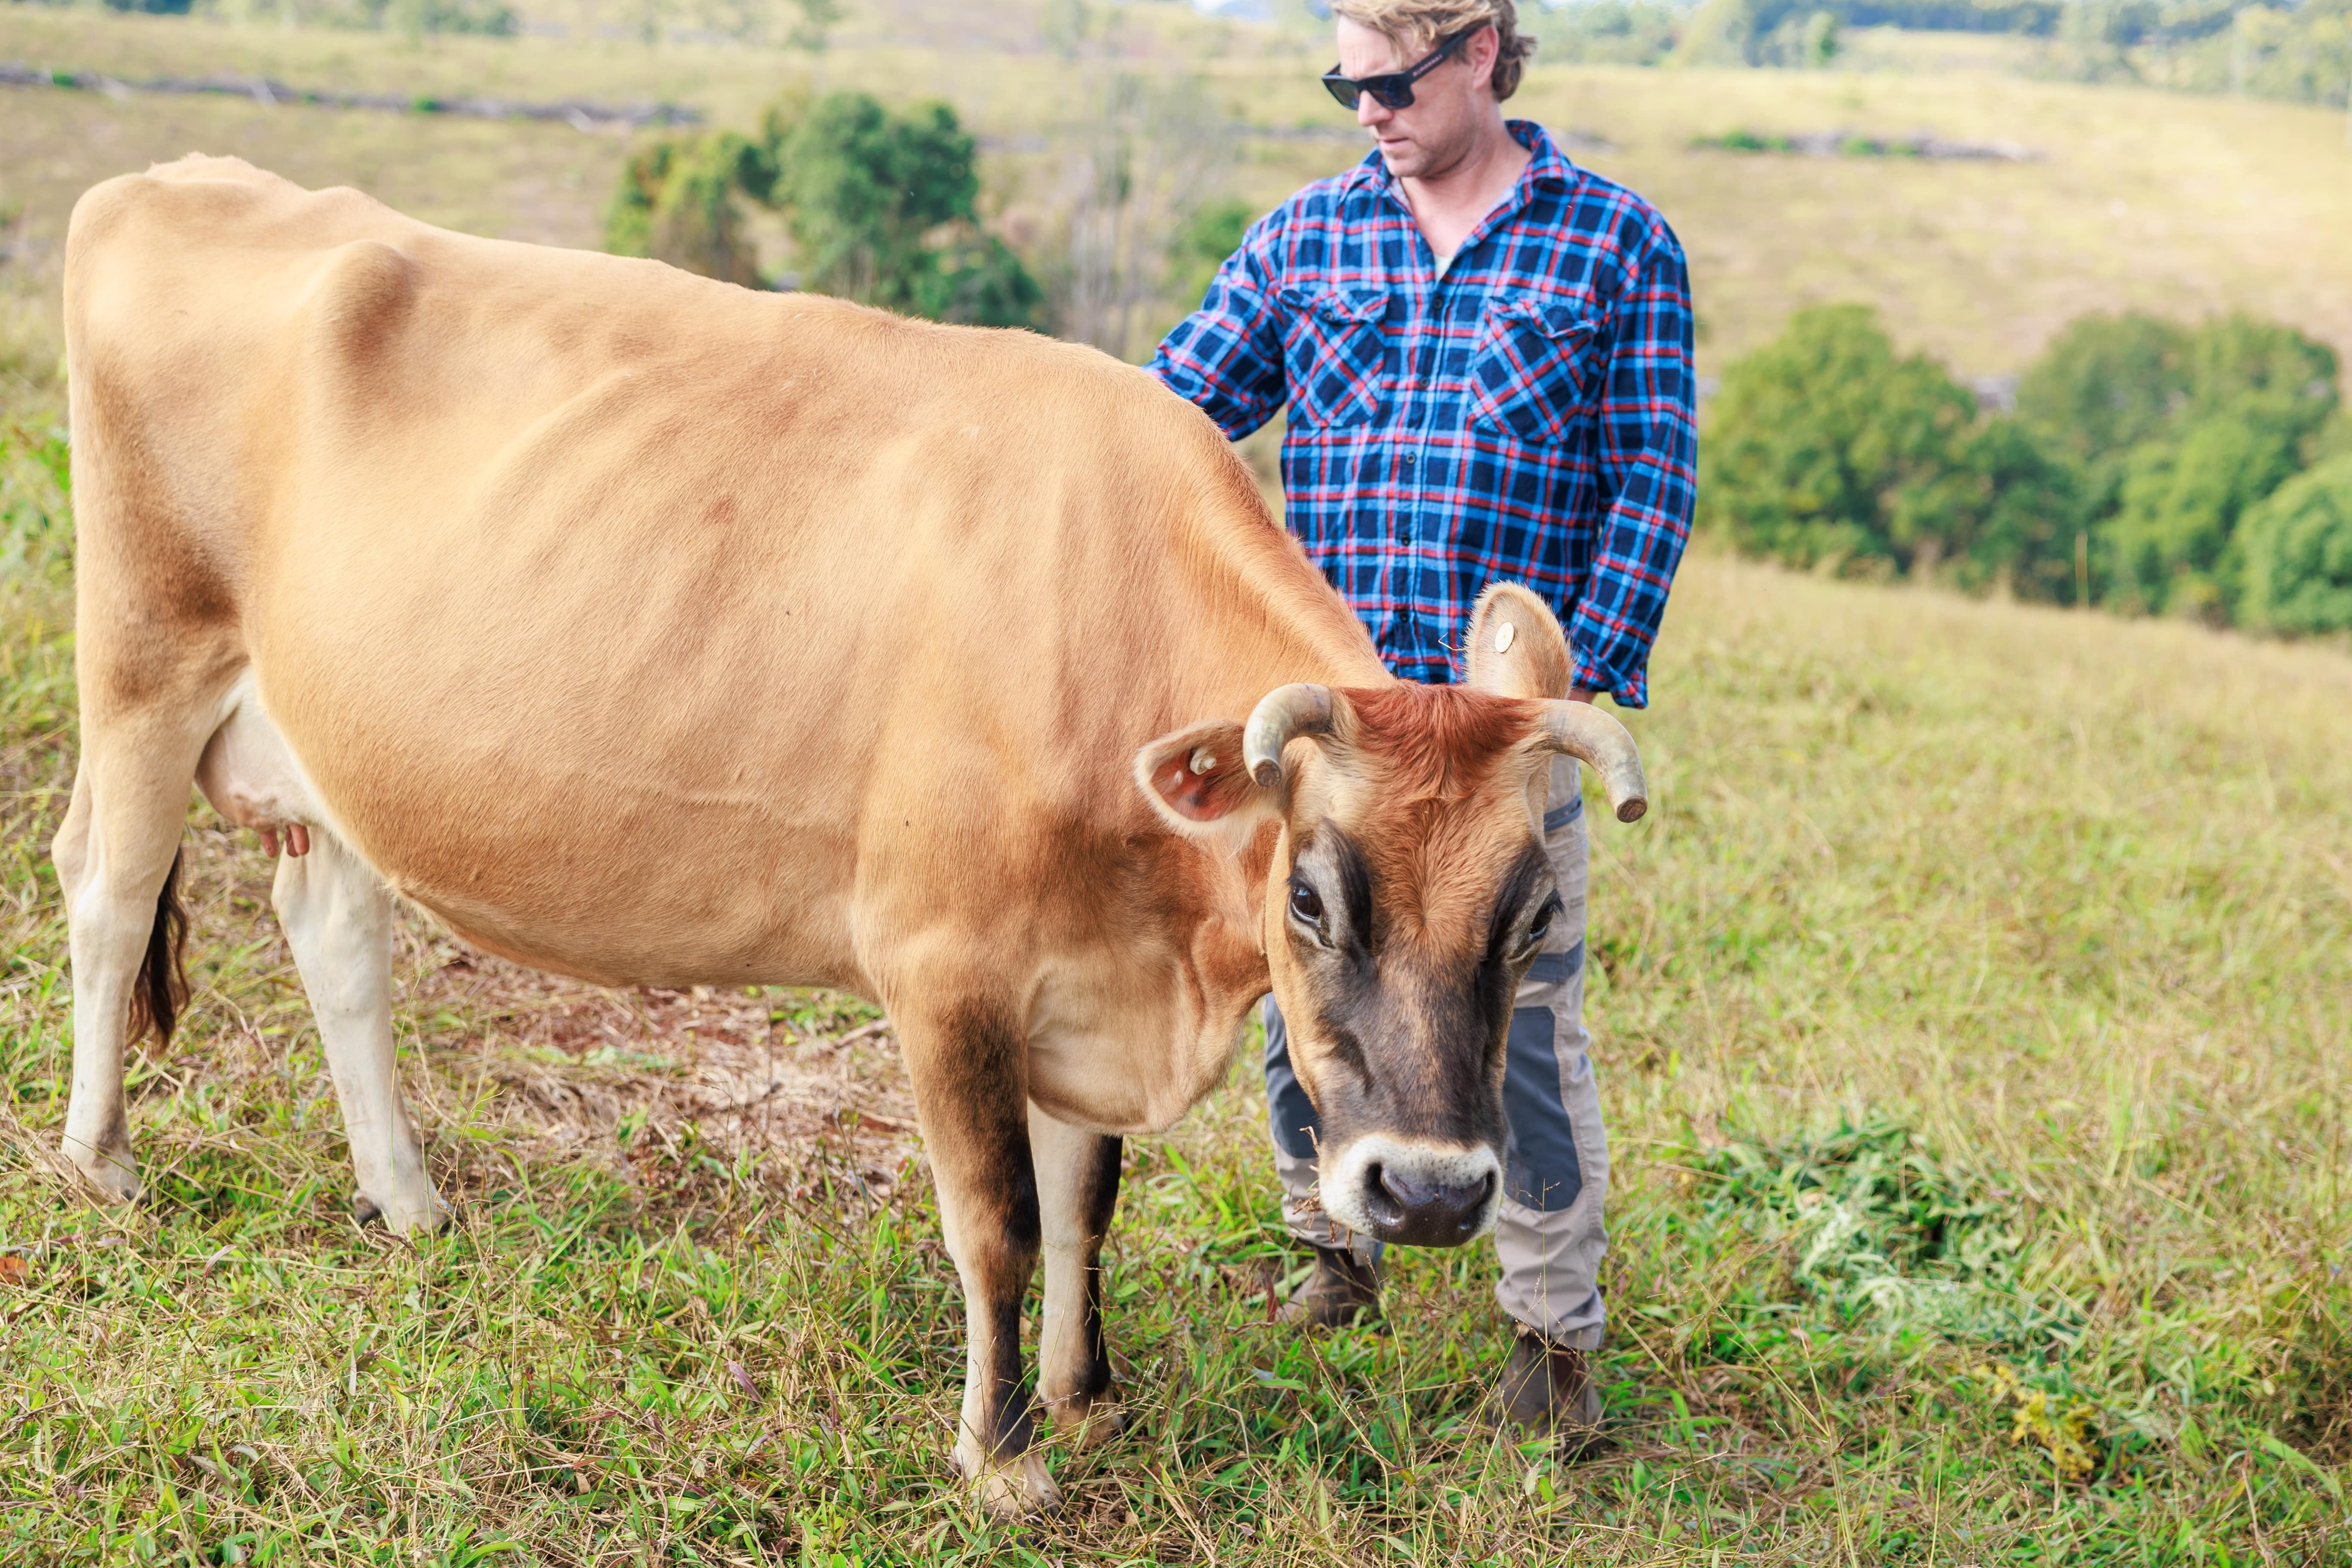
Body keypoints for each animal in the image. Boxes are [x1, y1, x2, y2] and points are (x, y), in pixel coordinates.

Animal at [50, 153, 1637, 1514]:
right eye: (1309, 897)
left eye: (1533, 914)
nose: (1430, 1189)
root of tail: (180, 176)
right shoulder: (945, 970)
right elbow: (998, 1219)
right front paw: (1000, 1455)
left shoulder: (1076, 971)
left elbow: (1086, 1200)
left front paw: (1086, 1393)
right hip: (144, 656)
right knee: (107, 891)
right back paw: (100, 1167)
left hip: (327, 750)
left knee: (336, 941)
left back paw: (408, 1200)